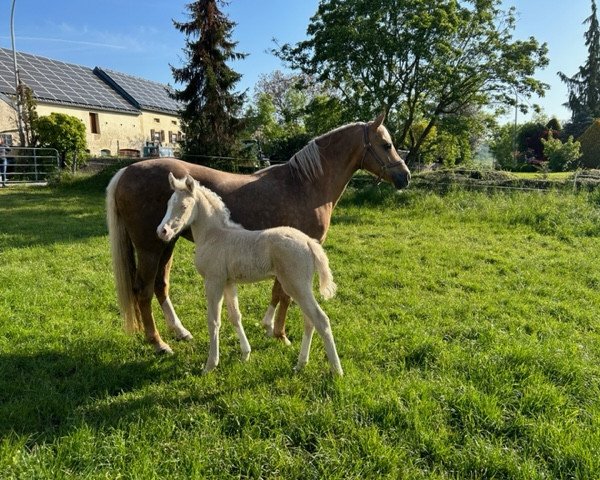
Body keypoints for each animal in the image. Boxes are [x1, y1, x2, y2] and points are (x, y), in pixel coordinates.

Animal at [105, 112, 410, 352]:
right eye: (386, 144)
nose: (405, 176)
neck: (305, 184)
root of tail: (125, 172)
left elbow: (277, 293)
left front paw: (268, 326)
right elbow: (285, 295)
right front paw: (281, 334)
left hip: (167, 242)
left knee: (160, 285)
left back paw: (180, 332)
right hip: (149, 247)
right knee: (143, 290)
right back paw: (158, 343)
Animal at [156, 172, 342, 376]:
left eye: (183, 206)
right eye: (168, 204)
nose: (162, 231)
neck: (214, 235)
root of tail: (309, 242)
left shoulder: (214, 281)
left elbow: (213, 320)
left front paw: (210, 365)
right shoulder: (228, 282)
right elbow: (235, 316)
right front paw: (245, 354)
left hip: (296, 285)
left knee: (321, 320)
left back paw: (337, 371)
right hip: (299, 287)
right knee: (309, 321)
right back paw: (301, 364)